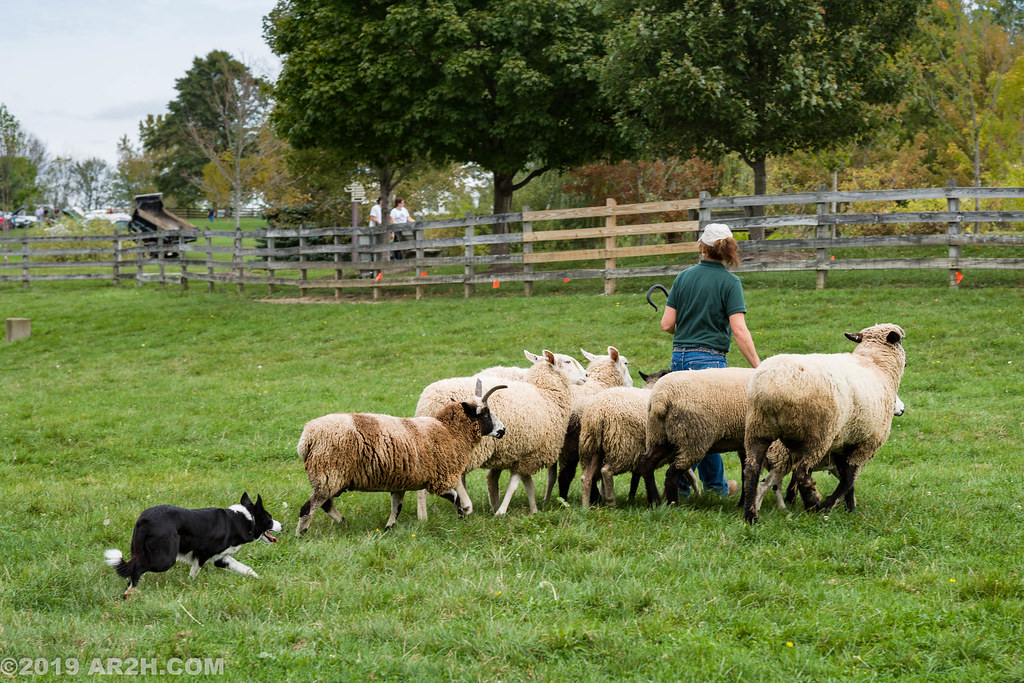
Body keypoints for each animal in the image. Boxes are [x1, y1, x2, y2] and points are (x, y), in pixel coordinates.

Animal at [295, 379, 507, 536]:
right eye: (485, 413)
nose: (503, 430)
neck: (449, 431)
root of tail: (307, 438)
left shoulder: (401, 480)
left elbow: (396, 507)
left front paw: (388, 529)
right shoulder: (438, 478)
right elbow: (454, 496)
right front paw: (461, 518)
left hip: (329, 476)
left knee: (325, 504)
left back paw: (342, 521)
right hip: (329, 472)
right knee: (309, 508)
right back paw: (301, 534)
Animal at [415, 350, 587, 517]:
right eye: (567, 361)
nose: (586, 375)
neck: (545, 394)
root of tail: (428, 402)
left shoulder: (527, 453)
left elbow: (528, 484)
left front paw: (533, 510)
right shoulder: (527, 454)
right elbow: (514, 485)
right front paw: (501, 511)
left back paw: (424, 516)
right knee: (456, 478)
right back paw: (466, 505)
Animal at [543, 346, 634, 505]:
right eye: (626, 363)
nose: (632, 383)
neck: (601, 382)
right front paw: (602, 495)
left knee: (553, 476)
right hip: (571, 442)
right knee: (566, 474)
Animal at [741, 323, 907, 524]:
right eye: (901, 342)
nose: (902, 410)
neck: (876, 365)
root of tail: (772, 387)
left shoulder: (843, 443)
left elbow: (847, 478)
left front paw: (850, 507)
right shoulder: (867, 443)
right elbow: (849, 479)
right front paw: (832, 504)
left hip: (758, 428)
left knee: (751, 470)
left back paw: (751, 516)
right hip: (817, 435)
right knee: (801, 472)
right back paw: (813, 504)